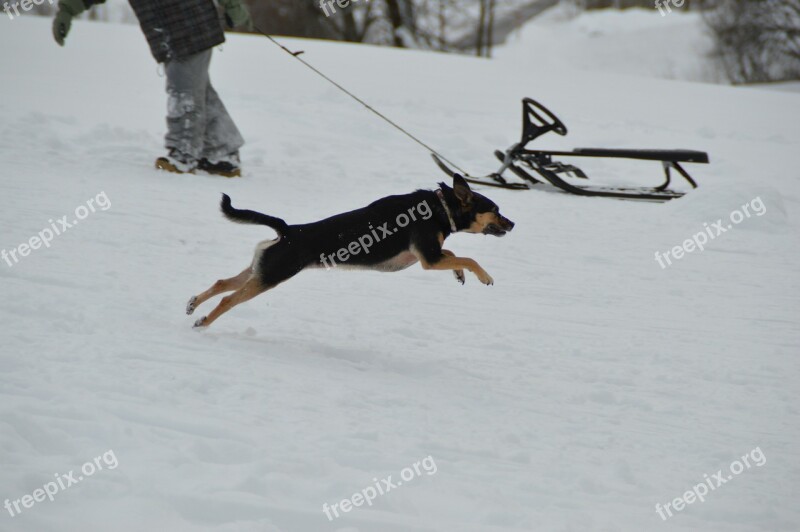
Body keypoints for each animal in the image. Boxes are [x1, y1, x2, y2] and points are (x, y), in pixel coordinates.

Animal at [187, 175, 512, 328]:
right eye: (496, 210)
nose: (513, 223)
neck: (439, 207)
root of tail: (288, 230)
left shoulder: (430, 255)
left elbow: (455, 253)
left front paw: (459, 274)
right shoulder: (429, 259)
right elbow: (468, 257)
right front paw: (484, 276)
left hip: (261, 269)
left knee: (222, 283)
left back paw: (193, 304)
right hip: (271, 276)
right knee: (228, 299)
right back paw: (203, 322)